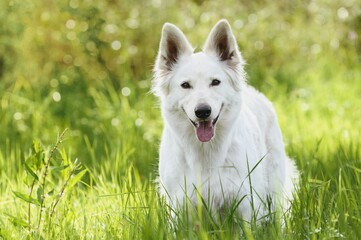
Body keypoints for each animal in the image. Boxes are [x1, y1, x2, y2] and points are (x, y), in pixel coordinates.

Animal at [152, 19, 298, 223]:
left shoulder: (246, 204)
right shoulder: (179, 207)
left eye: (215, 82)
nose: (203, 111)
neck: (205, 152)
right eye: (185, 85)